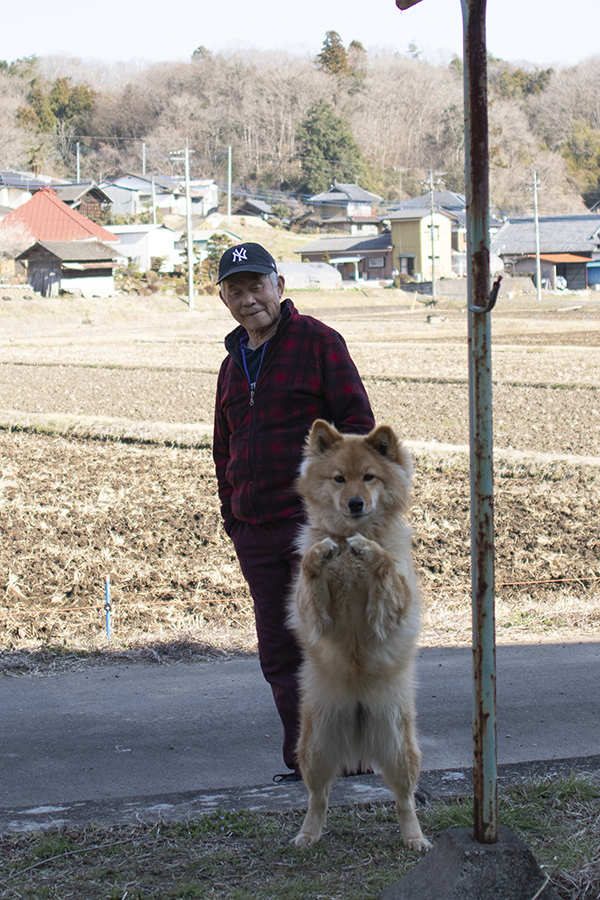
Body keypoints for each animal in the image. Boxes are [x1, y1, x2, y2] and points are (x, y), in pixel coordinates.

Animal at [287, 419, 430, 851]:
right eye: (339, 479)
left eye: (369, 477)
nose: (355, 503)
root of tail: (358, 711)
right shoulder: (317, 615)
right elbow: (310, 573)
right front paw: (322, 552)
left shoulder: (388, 610)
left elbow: (385, 567)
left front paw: (366, 548)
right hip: (315, 746)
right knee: (318, 796)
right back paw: (308, 834)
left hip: (400, 746)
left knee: (404, 799)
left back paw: (415, 838)